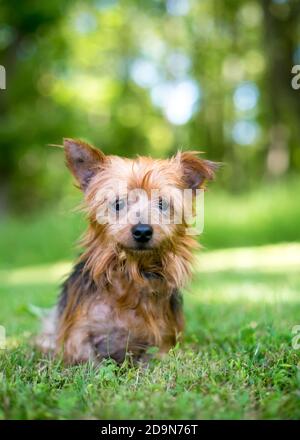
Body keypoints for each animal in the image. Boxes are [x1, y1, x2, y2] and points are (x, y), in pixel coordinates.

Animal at [37, 140, 217, 364]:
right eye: (117, 203)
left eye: (162, 203)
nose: (142, 231)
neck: (131, 272)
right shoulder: (77, 335)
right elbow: (87, 359)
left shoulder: (163, 341)